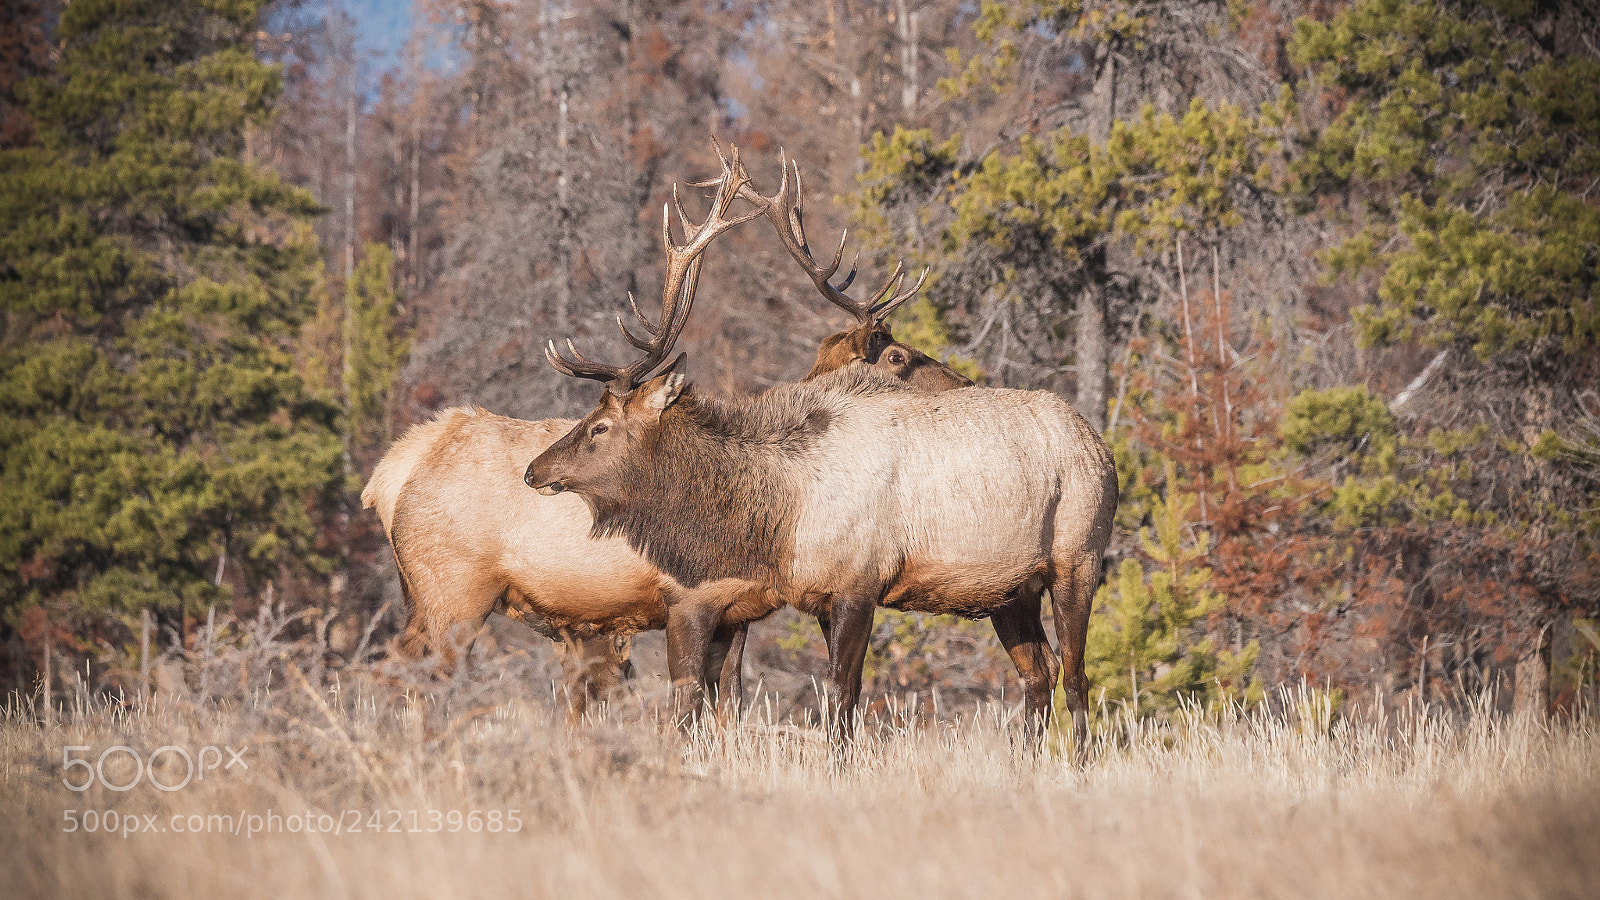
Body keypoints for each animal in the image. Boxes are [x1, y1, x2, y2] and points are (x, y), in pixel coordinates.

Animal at [526, 149, 1120, 753]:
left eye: (599, 426)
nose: (534, 470)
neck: (785, 514)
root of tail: (1099, 443)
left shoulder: (862, 579)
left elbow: (839, 690)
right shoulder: (818, 595)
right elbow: (838, 694)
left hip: (1078, 557)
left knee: (1076, 673)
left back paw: (1079, 760)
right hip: (1008, 590)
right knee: (1039, 671)